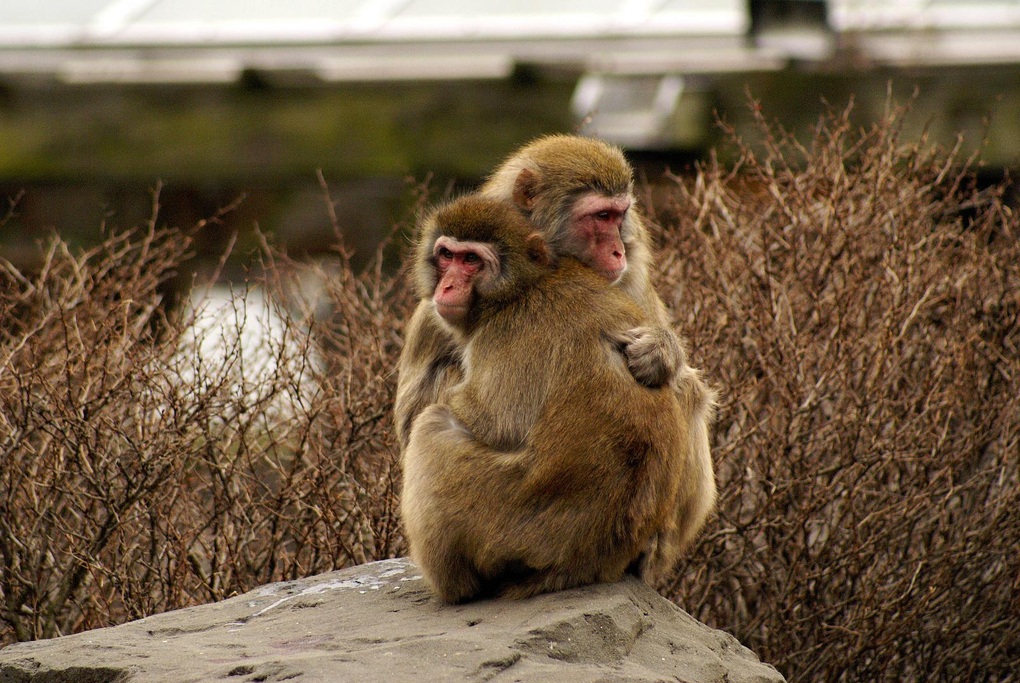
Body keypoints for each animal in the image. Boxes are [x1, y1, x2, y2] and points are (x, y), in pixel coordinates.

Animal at [393, 137, 714, 583]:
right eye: (600, 216)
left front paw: (659, 350)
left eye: (618, 215)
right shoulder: (433, 314)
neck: (541, 273)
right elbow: (413, 418)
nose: (618, 250)